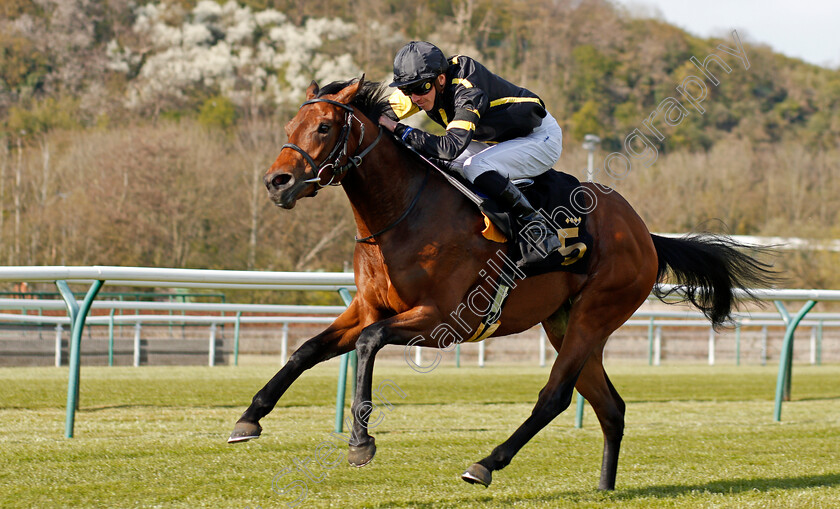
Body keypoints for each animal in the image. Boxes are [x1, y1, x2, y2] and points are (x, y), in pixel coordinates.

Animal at [228, 76, 776, 488]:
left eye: (324, 126)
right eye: (290, 125)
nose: (276, 182)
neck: (404, 213)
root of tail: (644, 233)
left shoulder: (444, 321)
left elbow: (368, 343)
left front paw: (361, 443)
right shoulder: (367, 307)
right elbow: (307, 350)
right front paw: (249, 418)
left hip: (596, 313)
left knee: (556, 395)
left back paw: (486, 463)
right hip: (565, 323)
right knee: (610, 406)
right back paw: (604, 486)